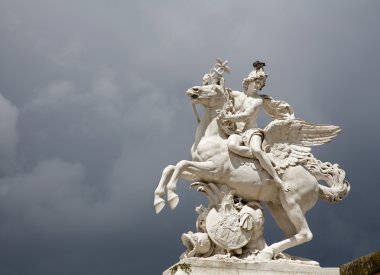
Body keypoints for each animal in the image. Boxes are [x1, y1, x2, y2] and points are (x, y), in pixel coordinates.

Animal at [153, 82, 348, 260]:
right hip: (278, 207)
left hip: (292, 202)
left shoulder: (212, 170)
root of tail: (316, 184)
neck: (211, 138)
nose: (194, 90)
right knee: (292, 233)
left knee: (305, 233)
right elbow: (171, 167)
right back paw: (278, 256)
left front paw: (172, 197)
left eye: (214, 87)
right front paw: (159, 200)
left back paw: (266, 253)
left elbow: (180, 164)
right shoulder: (203, 174)